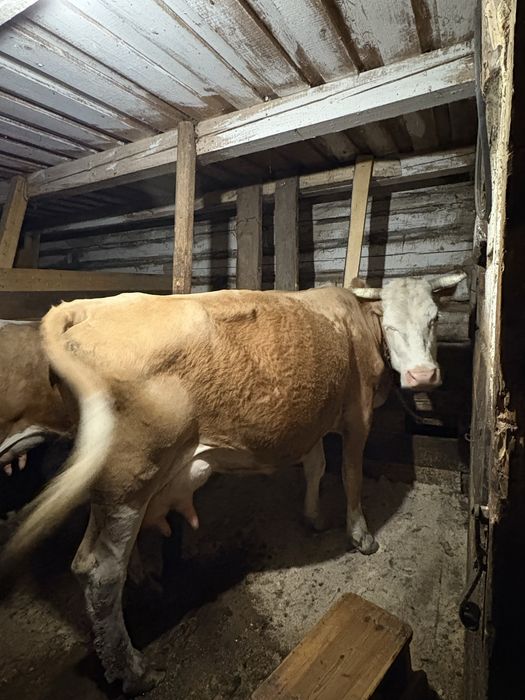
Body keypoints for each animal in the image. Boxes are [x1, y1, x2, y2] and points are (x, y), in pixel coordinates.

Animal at [1, 272, 465, 695]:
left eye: (434, 319)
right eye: (392, 325)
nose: (423, 375)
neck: (354, 326)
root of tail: (86, 306)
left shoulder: (313, 419)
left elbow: (315, 467)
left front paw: (313, 517)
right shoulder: (358, 414)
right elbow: (351, 475)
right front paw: (361, 536)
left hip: (108, 482)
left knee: (94, 561)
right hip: (130, 477)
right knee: (100, 573)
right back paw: (133, 671)